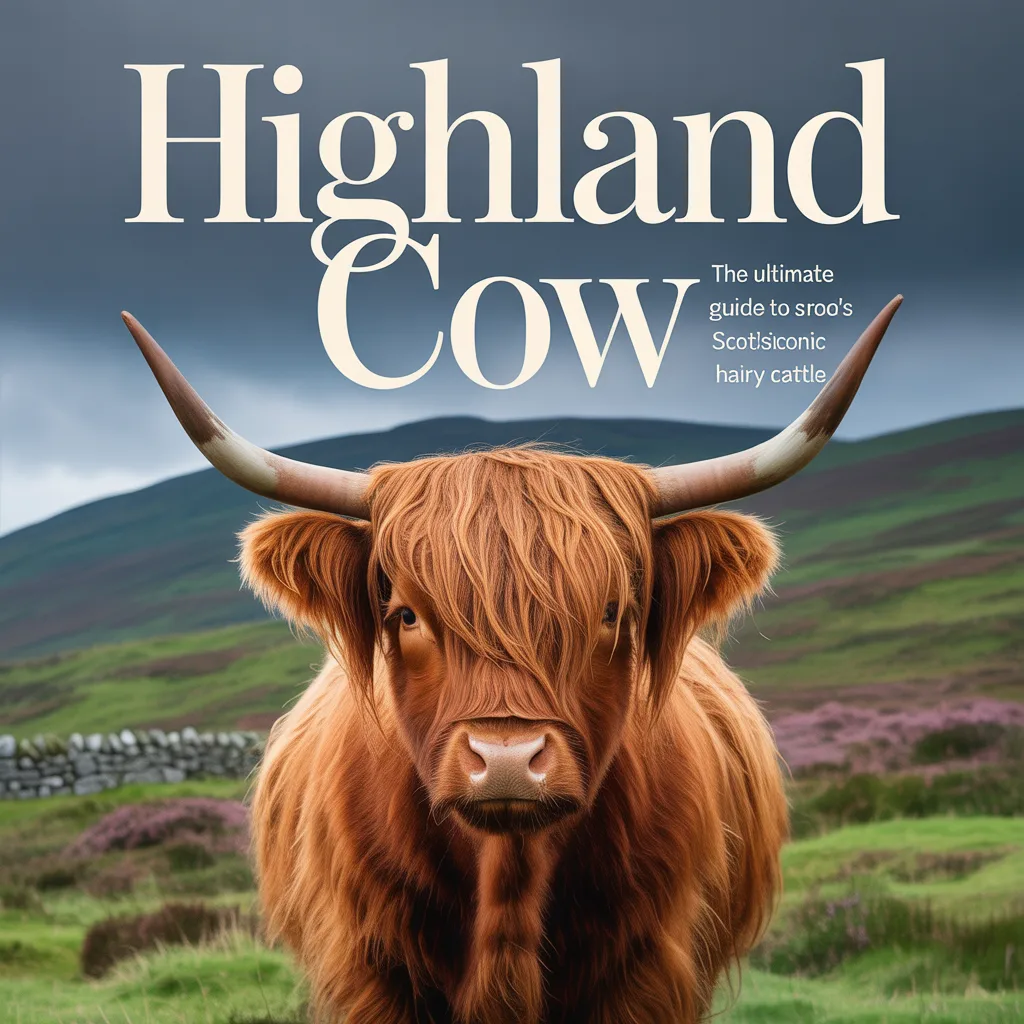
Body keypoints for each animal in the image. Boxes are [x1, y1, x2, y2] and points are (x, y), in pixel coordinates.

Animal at [122, 296, 901, 1024]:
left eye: (612, 613)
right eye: (407, 614)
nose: (505, 761)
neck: (509, 888)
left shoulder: (650, 974)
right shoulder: (369, 971)